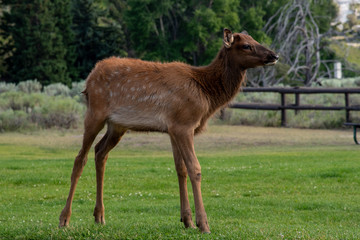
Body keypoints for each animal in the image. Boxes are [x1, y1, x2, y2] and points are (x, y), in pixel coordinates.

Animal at [59, 28, 278, 232]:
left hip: (117, 125)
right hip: (95, 113)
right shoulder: (184, 125)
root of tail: (89, 79)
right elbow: (195, 169)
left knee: (100, 152)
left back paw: (99, 216)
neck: (206, 94)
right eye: (246, 46)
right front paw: (203, 224)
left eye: (255, 40)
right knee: (80, 159)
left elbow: (180, 169)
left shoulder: (174, 128)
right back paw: (65, 219)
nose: (274, 55)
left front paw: (187, 220)